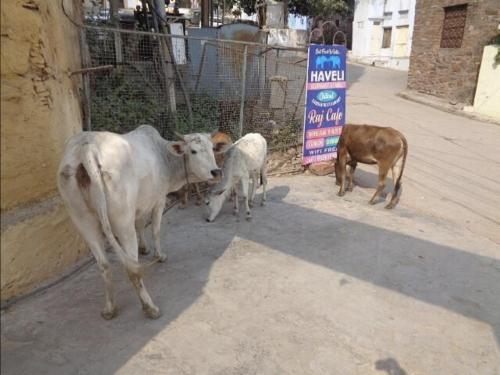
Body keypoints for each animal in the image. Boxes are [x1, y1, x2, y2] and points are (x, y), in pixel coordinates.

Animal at [57, 126, 221, 320]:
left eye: (212, 148)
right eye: (193, 151)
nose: (216, 172)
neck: (163, 155)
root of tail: (86, 148)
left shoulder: (141, 205)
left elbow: (141, 225)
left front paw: (144, 248)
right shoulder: (158, 200)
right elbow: (155, 229)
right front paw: (159, 255)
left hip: (83, 221)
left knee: (104, 265)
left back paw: (110, 308)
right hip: (122, 222)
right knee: (132, 270)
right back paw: (149, 307)